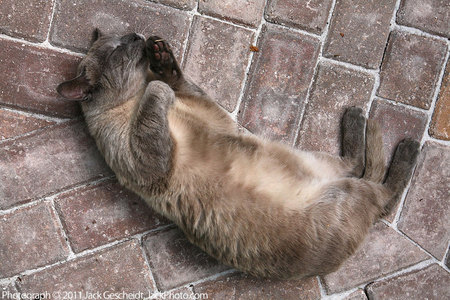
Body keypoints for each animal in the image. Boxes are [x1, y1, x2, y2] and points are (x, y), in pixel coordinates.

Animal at [57, 30, 422, 278]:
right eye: (117, 50)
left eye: (126, 37)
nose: (136, 36)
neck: (131, 97)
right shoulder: (152, 162)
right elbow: (158, 92)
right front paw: (156, 83)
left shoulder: (211, 112)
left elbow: (175, 81)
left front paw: (161, 56)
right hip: (348, 190)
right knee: (380, 188)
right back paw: (402, 142)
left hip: (320, 164)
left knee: (362, 169)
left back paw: (361, 119)